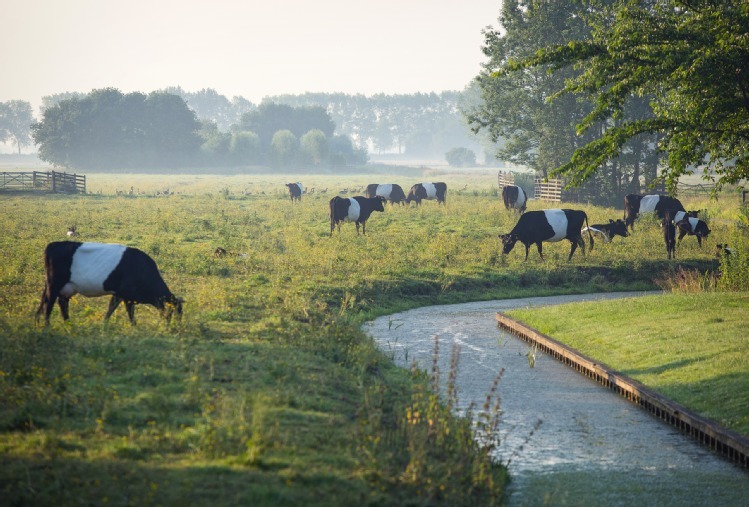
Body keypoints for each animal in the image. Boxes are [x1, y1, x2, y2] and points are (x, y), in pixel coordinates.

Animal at [35, 241, 185, 326]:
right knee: (49, 303)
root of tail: (53, 244)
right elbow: (130, 313)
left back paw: (67, 324)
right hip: (54, 284)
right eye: (174, 311)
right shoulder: (127, 296)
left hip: (64, 288)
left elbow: (110, 309)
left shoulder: (118, 294)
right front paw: (134, 327)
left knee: (60, 303)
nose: (175, 329)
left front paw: (104, 325)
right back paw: (47, 326)